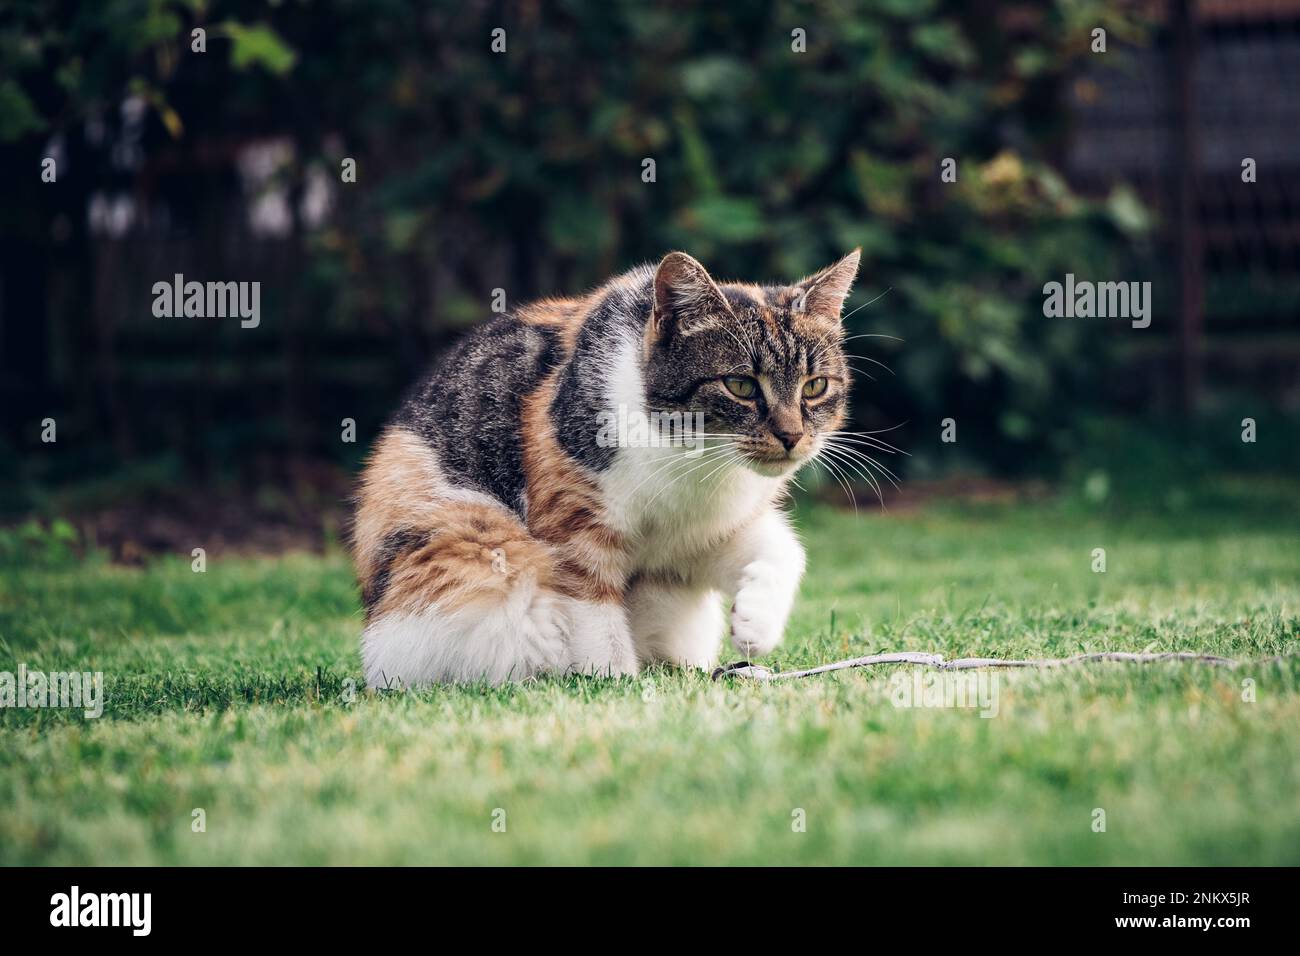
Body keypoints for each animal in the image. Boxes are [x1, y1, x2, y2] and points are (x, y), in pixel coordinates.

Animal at [356, 248, 863, 686]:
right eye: (740, 385)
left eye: (815, 386)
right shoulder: (571, 521)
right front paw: (613, 680)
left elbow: (782, 549)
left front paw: (757, 622)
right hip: (469, 539)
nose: (792, 436)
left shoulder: (699, 531)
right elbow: (591, 609)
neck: (695, 461)